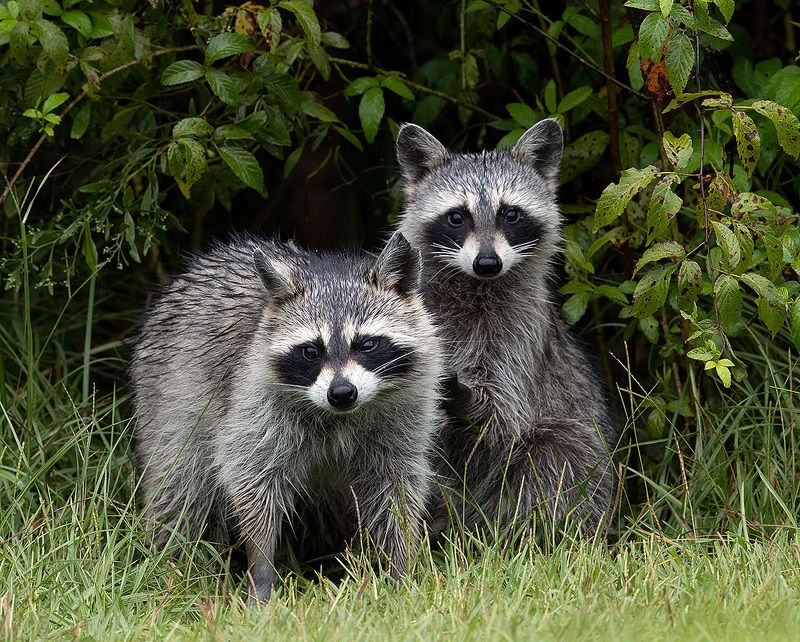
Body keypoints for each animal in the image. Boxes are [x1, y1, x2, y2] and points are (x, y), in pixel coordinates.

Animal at [129, 231, 443, 602]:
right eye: (311, 351)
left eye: (366, 344)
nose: (342, 393)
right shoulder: (253, 405)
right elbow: (252, 482)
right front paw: (262, 570)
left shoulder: (405, 413)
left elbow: (396, 488)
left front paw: (400, 568)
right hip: (170, 399)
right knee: (179, 484)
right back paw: (170, 560)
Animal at [395, 119, 617, 537]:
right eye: (457, 217)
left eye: (510, 214)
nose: (487, 263)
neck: (476, 286)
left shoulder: (521, 331)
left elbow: (506, 415)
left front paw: (469, 399)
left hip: (576, 444)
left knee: (556, 463)